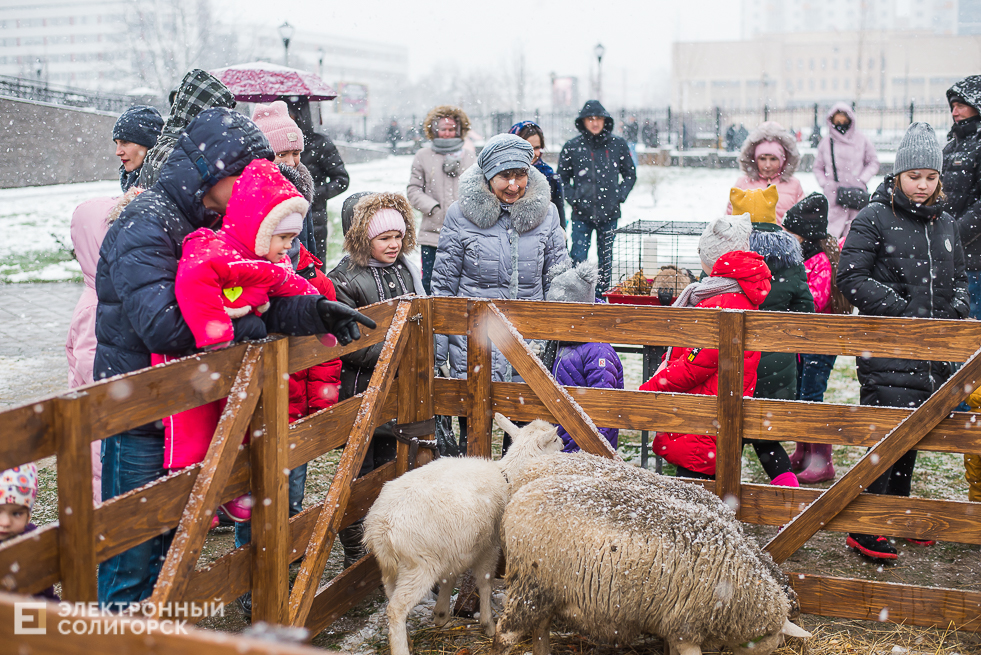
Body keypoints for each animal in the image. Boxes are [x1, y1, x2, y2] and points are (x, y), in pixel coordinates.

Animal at [364, 416, 564, 655]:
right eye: (555, 439)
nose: (565, 444)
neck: (507, 475)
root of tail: (381, 526)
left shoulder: (455, 547)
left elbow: (449, 576)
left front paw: (441, 614)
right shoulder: (489, 545)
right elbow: (485, 581)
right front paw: (488, 624)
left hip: (390, 565)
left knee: (389, 595)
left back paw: (408, 639)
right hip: (419, 565)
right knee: (396, 608)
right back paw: (402, 647)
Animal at [494, 468, 808, 655]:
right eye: (773, 644)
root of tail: (517, 500)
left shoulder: (672, 622)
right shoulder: (686, 627)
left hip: (548, 591)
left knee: (540, 627)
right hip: (532, 584)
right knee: (509, 632)